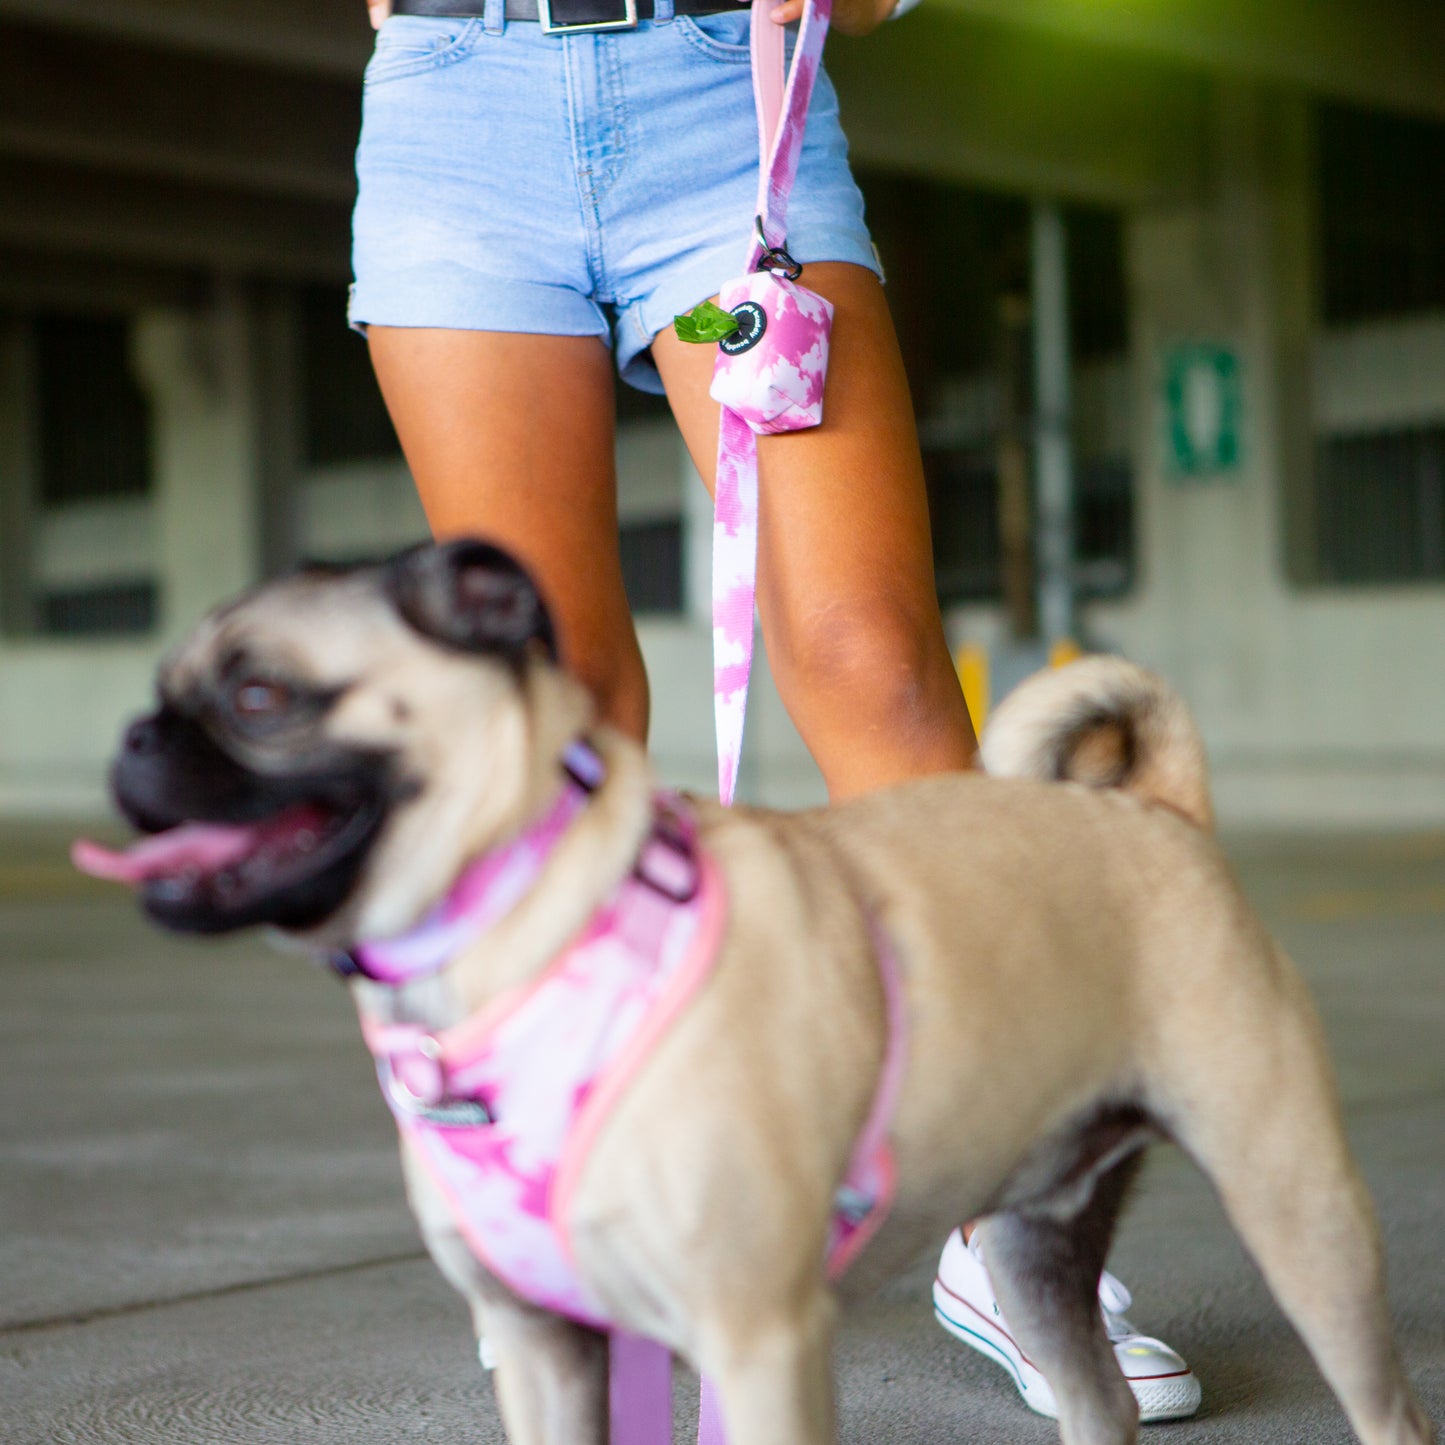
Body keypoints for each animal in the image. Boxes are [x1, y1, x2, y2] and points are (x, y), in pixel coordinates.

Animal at [79, 537, 1433, 1439]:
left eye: (259, 697)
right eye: (161, 687)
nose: (134, 736)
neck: (528, 937)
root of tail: (1153, 811)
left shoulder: (757, 1339)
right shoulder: (548, 1349)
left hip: (1297, 1207)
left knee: (1382, 1407)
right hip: (1036, 1249)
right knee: (1094, 1401)